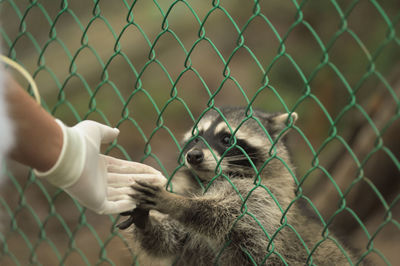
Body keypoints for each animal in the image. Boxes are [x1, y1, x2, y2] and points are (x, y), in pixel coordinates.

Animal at [119, 107, 356, 264]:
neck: (209, 179)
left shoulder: (265, 197)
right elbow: (171, 239)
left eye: (226, 139)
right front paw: (146, 221)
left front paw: (179, 204)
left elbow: (229, 214)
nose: (193, 156)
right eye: (196, 138)